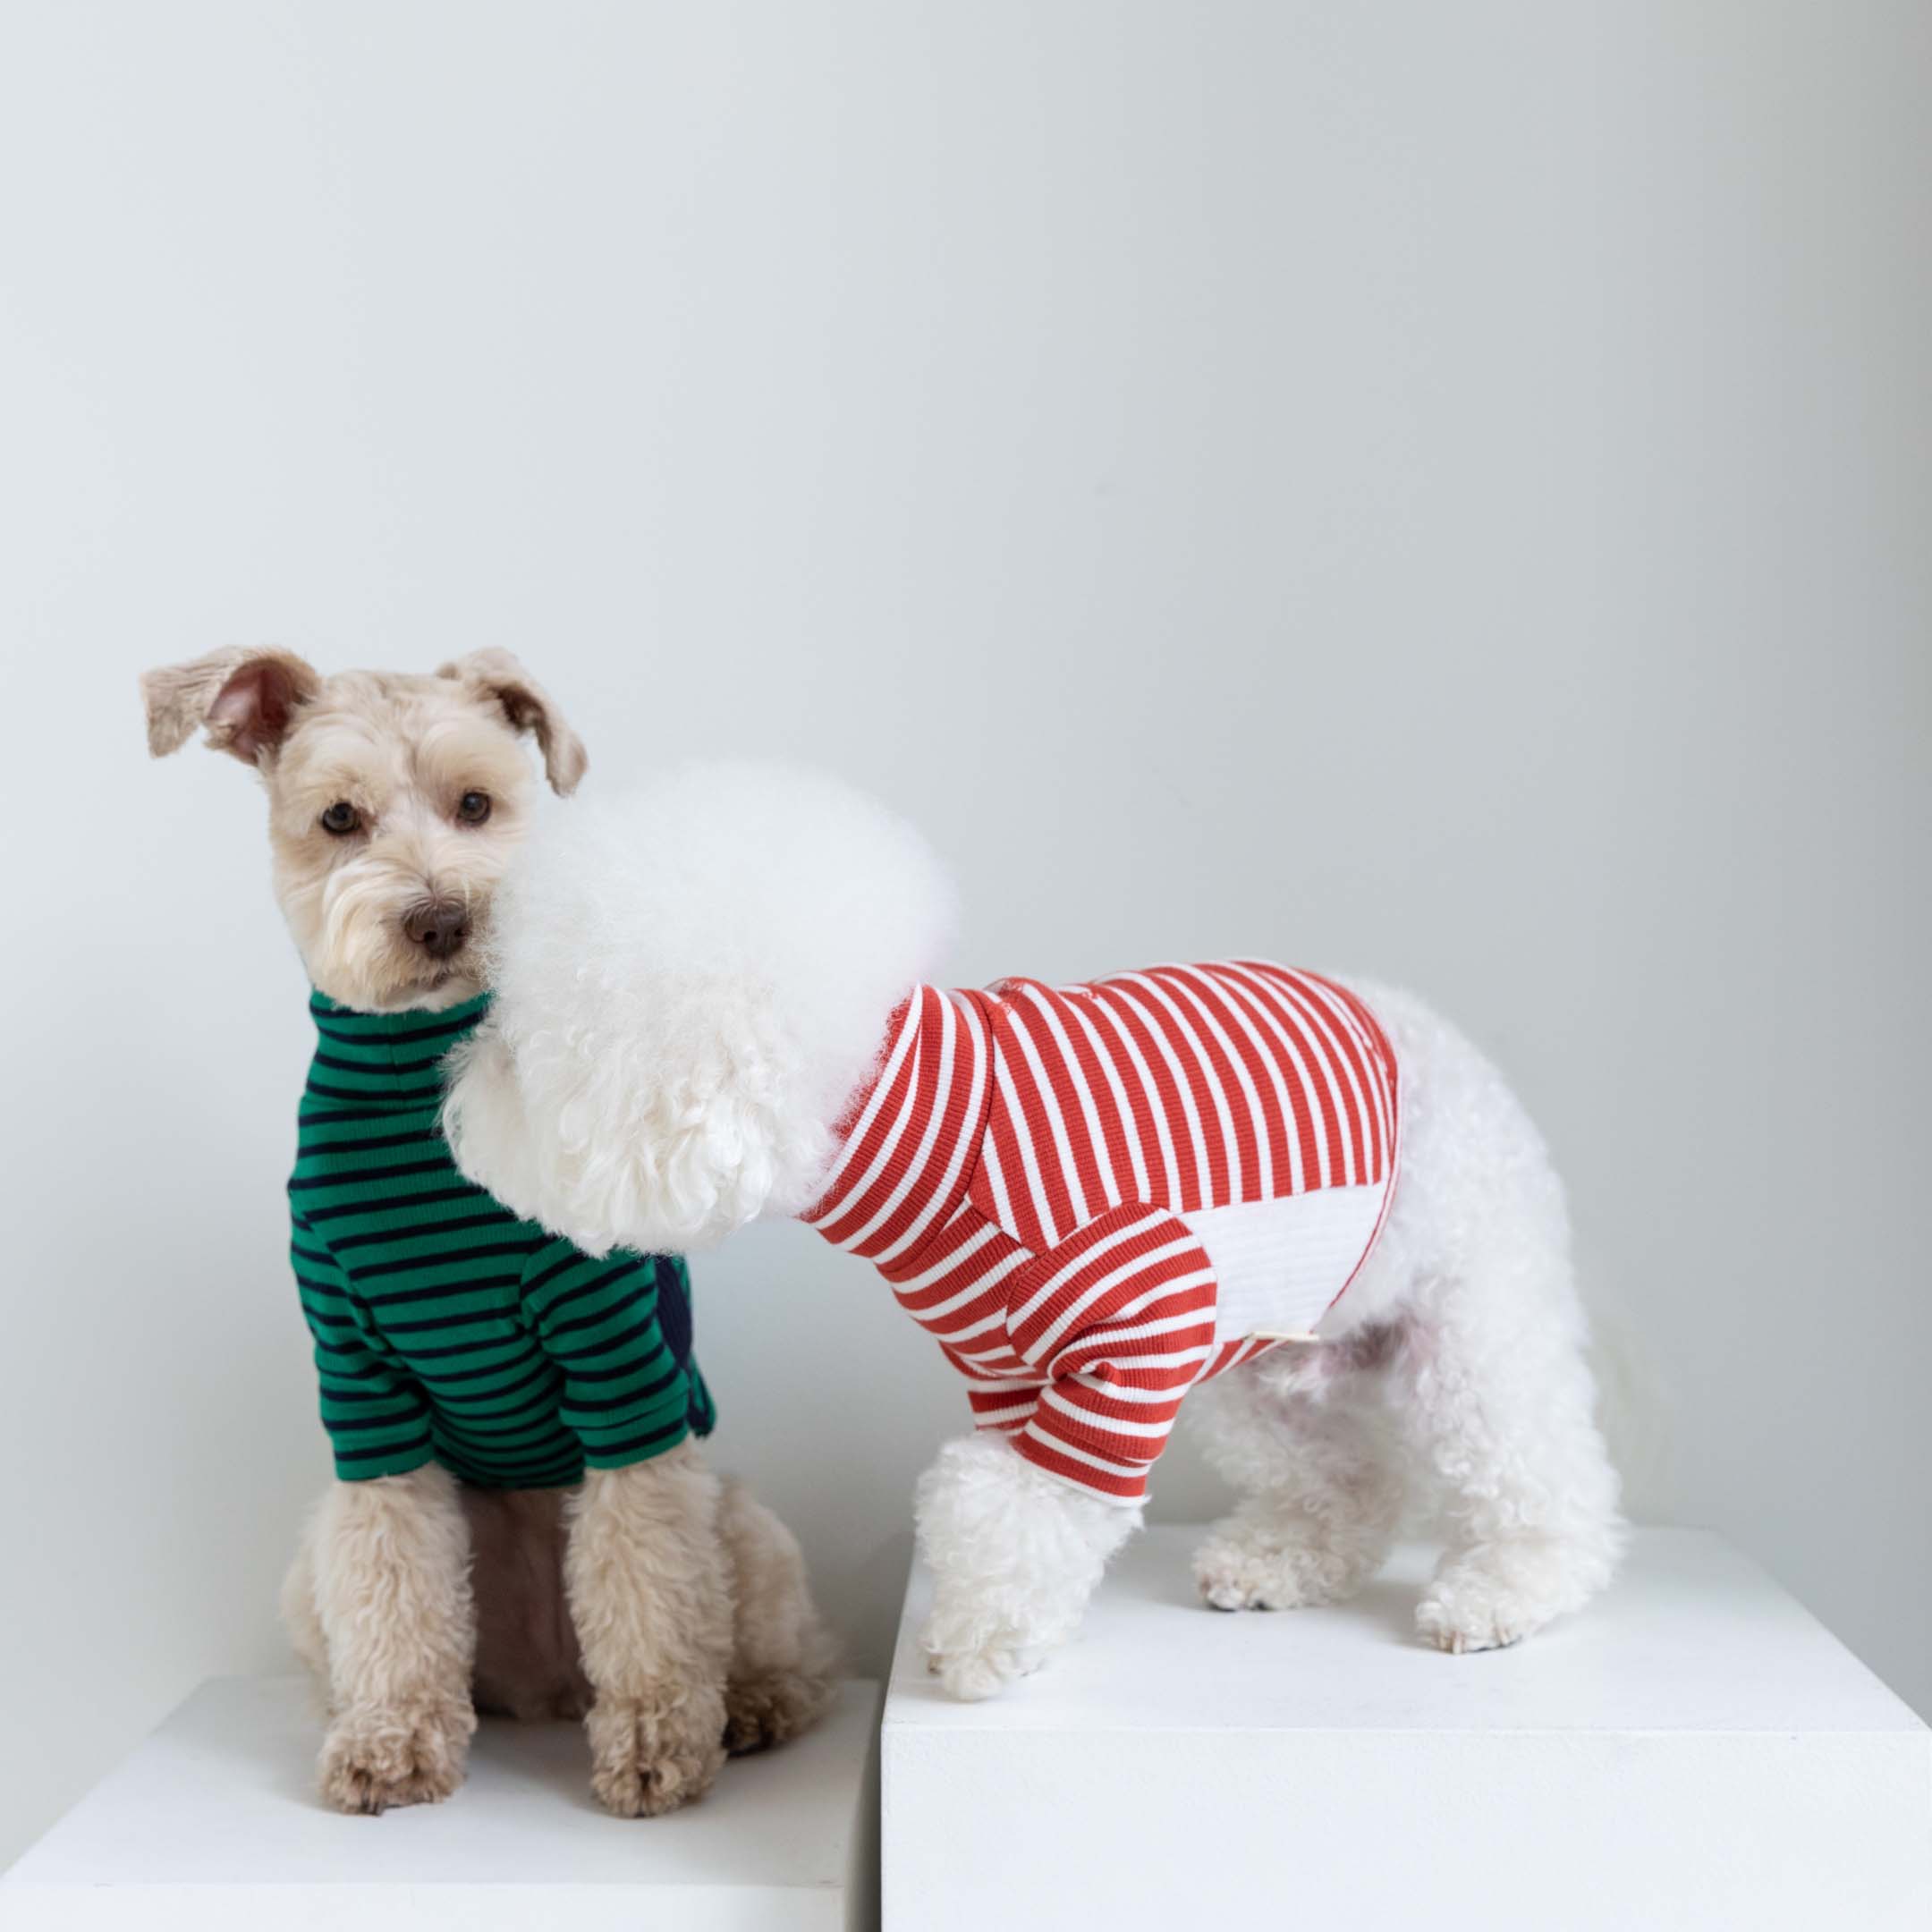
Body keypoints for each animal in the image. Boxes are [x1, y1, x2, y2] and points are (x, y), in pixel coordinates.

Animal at [142, 645, 838, 1808]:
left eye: (476, 803)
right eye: (339, 819)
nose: (439, 919)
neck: (423, 1084)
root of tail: (547, 1687)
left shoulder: (617, 1367)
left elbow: (649, 1581)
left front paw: (655, 1742)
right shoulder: (363, 1388)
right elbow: (393, 1586)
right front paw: (392, 1739)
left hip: (746, 1521)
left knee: (776, 1642)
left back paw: (750, 1707)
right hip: (311, 1563)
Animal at [442, 761, 1631, 1699]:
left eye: (523, 1045)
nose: (456, 1094)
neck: (929, 1131)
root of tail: (1454, 1048)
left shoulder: (1130, 1344)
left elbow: (1016, 1511)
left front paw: (983, 1647)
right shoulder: (1013, 1372)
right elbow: (1003, 1498)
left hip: (1469, 1328)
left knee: (1540, 1469)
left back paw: (1507, 1588)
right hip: (1262, 1365)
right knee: (1354, 1481)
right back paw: (1283, 1559)